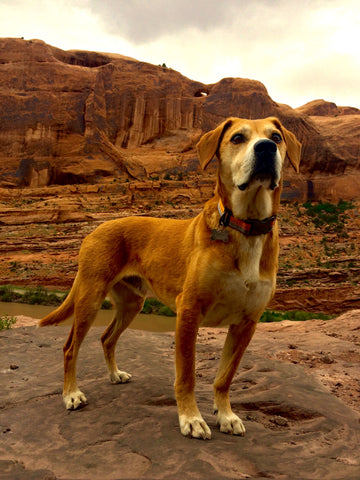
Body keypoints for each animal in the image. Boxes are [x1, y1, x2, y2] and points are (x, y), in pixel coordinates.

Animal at [38, 116, 300, 438]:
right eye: (238, 138)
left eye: (276, 137)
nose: (265, 149)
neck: (245, 225)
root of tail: (96, 228)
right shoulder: (189, 311)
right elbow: (186, 374)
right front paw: (191, 418)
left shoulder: (247, 323)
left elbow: (225, 376)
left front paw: (225, 415)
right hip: (90, 296)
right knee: (70, 348)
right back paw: (71, 394)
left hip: (131, 303)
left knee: (106, 338)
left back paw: (114, 374)